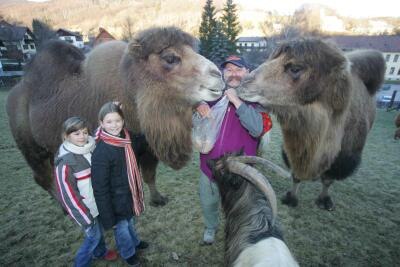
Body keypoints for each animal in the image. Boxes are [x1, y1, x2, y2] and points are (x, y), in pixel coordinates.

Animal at [5, 27, 225, 206]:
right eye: (170, 58)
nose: (218, 76)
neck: (130, 93)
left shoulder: (146, 146)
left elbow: (149, 175)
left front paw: (158, 199)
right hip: (32, 149)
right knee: (42, 177)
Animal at [239, 37, 386, 210]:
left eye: (295, 68)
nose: (243, 83)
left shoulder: (342, 158)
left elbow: (328, 179)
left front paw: (324, 200)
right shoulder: (295, 148)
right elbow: (296, 175)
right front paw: (291, 198)